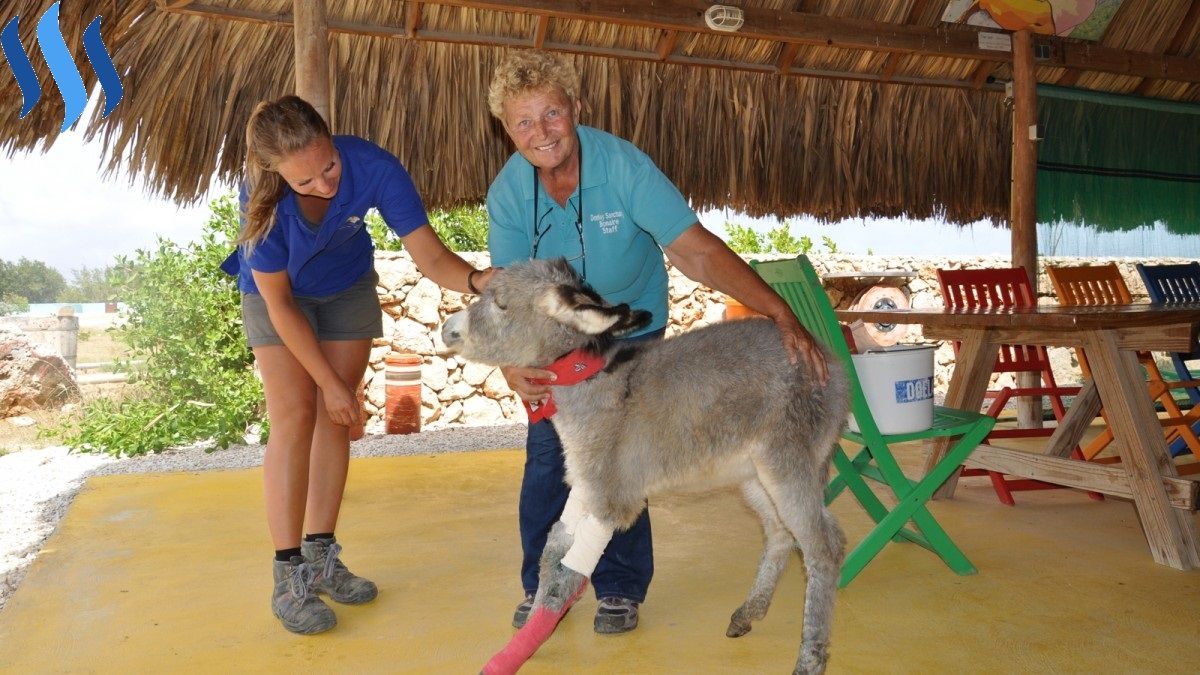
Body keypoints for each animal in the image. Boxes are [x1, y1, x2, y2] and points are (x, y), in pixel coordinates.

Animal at [444, 257, 854, 672]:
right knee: (782, 533)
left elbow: (570, 570)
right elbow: (552, 550)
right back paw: (747, 615)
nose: (448, 329)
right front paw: (532, 629)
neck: (592, 385)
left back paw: (810, 658)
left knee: (825, 547)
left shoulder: (610, 499)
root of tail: (832, 367)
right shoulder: (585, 486)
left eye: (501, 304)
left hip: (787, 462)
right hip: (754, 475)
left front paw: (511, 655)